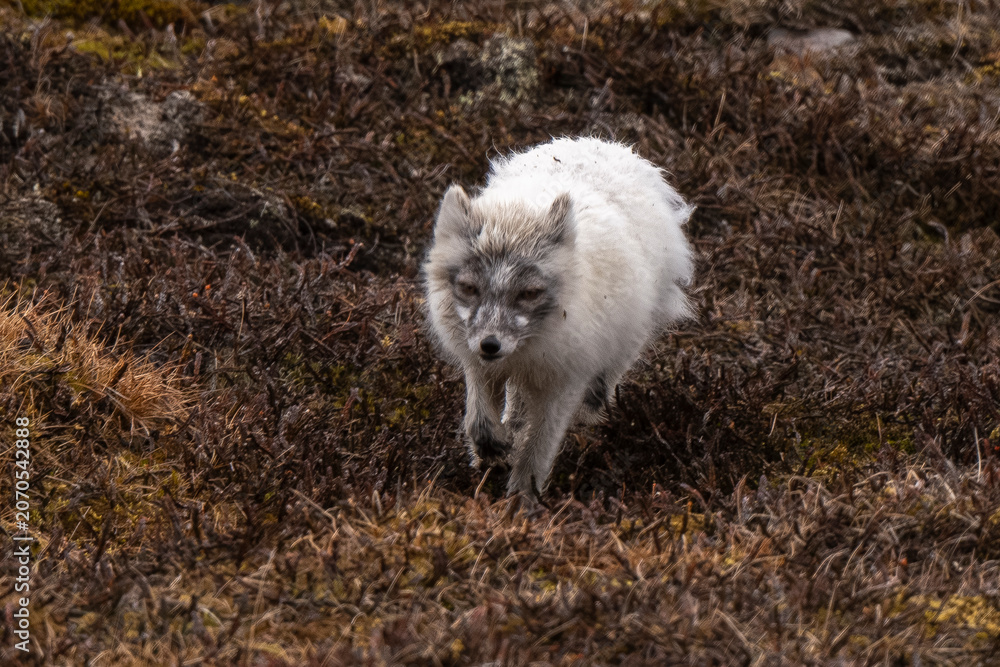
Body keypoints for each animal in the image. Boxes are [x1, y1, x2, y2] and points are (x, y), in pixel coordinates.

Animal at [423, 137, 694, 497]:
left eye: (529, 293)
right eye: (469, 288)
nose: (490, 345)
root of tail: (610, 145)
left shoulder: (565, 381)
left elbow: (538, 447)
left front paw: (523, 499)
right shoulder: (478, 361)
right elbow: (479, 419)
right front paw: (492, 449)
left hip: (625, 342)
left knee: (601, 385)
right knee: (517, 400)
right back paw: (511, 426)